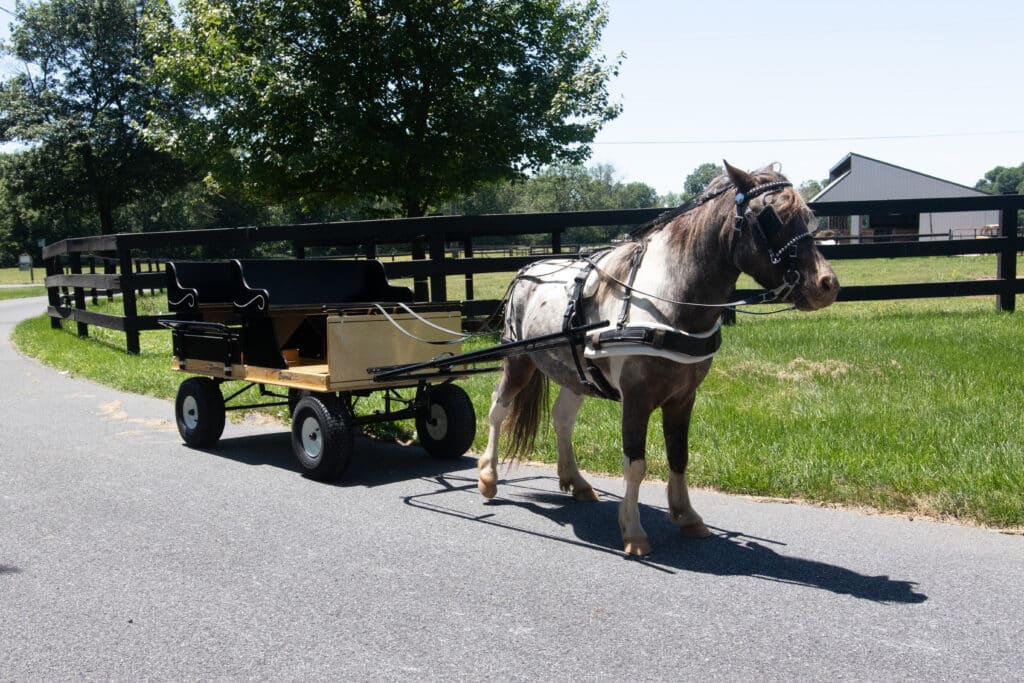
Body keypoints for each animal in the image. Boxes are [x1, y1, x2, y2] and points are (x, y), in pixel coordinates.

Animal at [476, 161, 840, 556]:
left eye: (808, 217)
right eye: (772, 217)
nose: (827, 285)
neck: (666, 304)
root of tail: (526, 271)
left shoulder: (683, 397)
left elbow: (679, 455)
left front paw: (687, 516)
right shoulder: (636, 398)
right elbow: (635, 464)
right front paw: (633, 531)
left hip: (574, 373)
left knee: (562, 419)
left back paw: (576, 481)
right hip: (518, 361)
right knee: (498, 408)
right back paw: (488, 477)